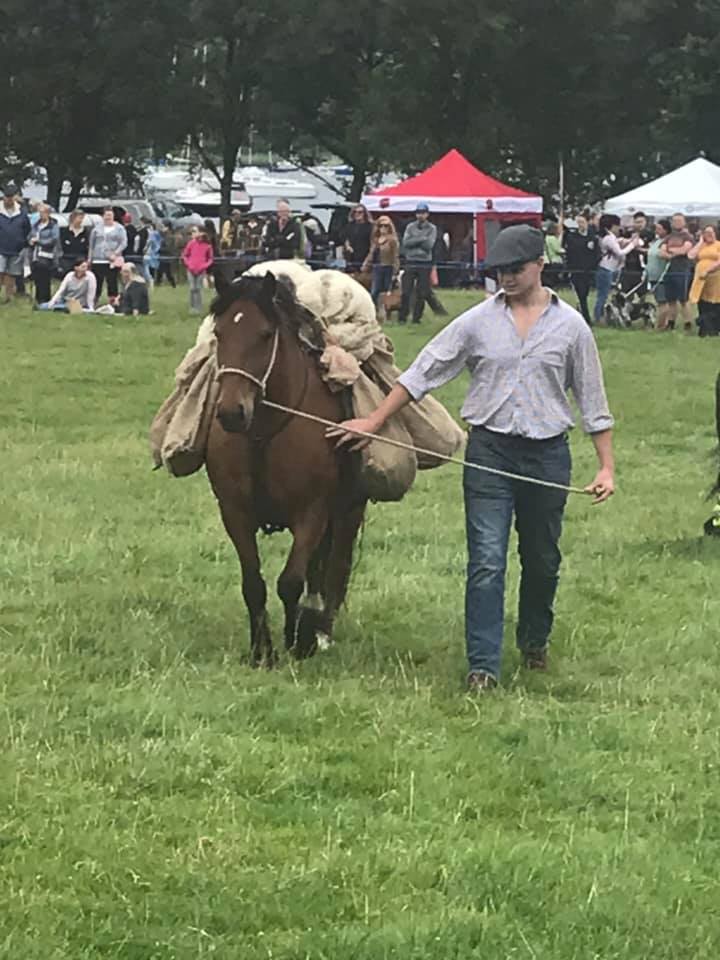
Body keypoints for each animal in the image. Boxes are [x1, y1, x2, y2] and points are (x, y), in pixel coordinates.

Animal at [207, 266, 366, 664]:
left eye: (265, 335)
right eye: (219, 334)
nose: (232, 412)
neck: (263, 434)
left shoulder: (312, 512)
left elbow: (291, 581)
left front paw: (296, 641)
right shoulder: (235, 513)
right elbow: (254, 583)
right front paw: (261, 651)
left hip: (347, 512)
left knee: (333, 569)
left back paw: (319, 632)